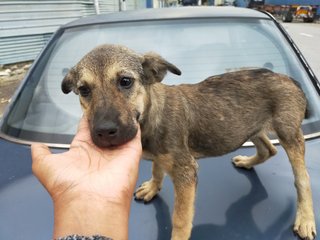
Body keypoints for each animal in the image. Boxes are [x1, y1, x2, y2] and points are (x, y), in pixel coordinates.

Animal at [61, 44, 316, 239]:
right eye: (83, 90)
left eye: (125, 81)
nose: (104, 132)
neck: (151, 115)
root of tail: (290, 79)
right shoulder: (161, 157)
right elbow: (156, 169)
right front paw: (153, 187)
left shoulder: (186, 171)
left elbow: (180, 218)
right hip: (251, 126)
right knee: (269, 150)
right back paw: (247, 161)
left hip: (288, 133)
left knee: (302, 178)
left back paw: (305, 218)